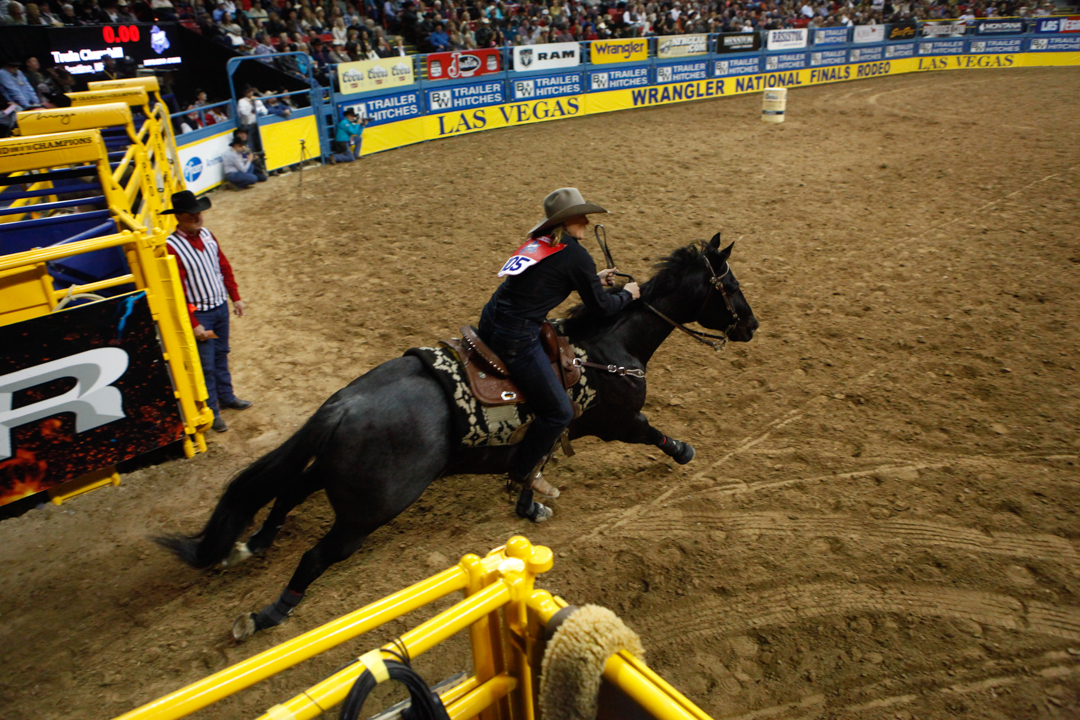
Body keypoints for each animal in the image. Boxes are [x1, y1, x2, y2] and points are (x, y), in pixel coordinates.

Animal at [156, 235, 760, 634]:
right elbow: (652, 433)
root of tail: (341, 404)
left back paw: (252, 544)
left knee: (286, 493)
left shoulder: (553, 432)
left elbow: (533, 466)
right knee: (313, 556)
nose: (752, 326)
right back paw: (267, 614)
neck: (607, 346)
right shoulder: (615, 422)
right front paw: (684, 451)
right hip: (367, 512)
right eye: (728, 283)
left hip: (338, 478)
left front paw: (530, 504)